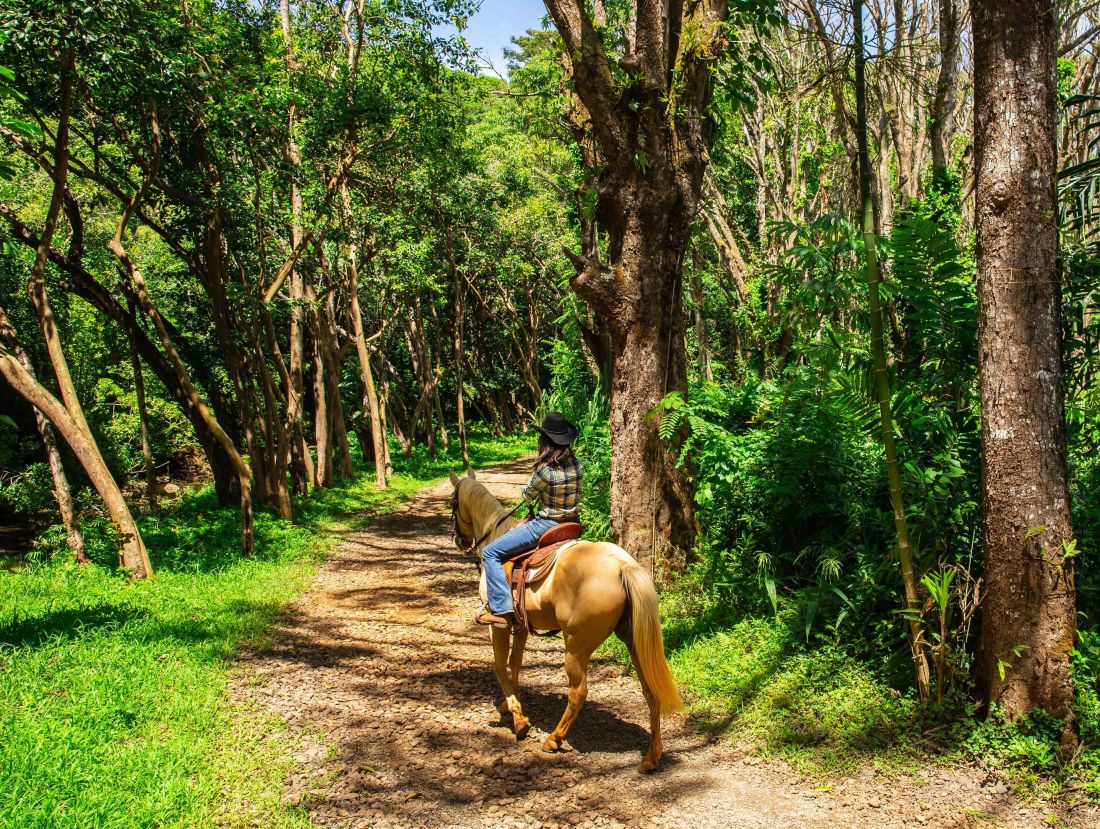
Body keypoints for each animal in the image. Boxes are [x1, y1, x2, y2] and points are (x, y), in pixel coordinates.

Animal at [448, 469, 682, 773]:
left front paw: (518, 719)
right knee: (650, 691)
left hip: (576, 646)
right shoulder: (520, 626)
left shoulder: (498, 624)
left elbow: (499, 666)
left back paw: (554, 739)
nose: (459, 540)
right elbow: (515, 664)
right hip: (634, 642)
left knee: (578, 691)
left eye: (453, 503)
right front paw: (509, 705)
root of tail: (623, 566)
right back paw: (651, 756)